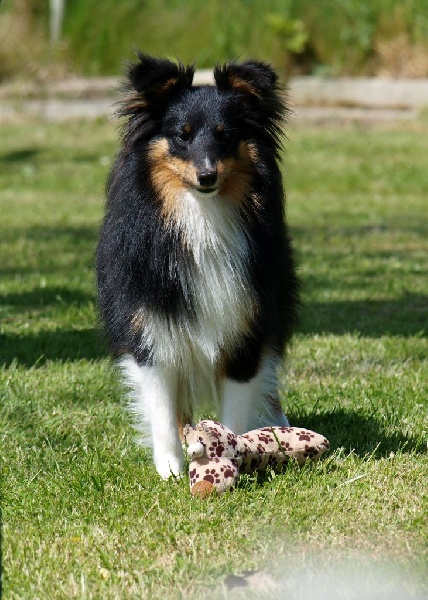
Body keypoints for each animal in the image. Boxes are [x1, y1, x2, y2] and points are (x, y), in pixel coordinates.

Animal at [95, 55, 300, 478]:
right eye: (182, 135)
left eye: (225, 135)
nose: (207, 175)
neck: (200, 217)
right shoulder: (150, 327)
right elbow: (161, 405)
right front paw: (171, 468)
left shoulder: (245, 326)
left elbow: (238, 402)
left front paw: (232, 455)